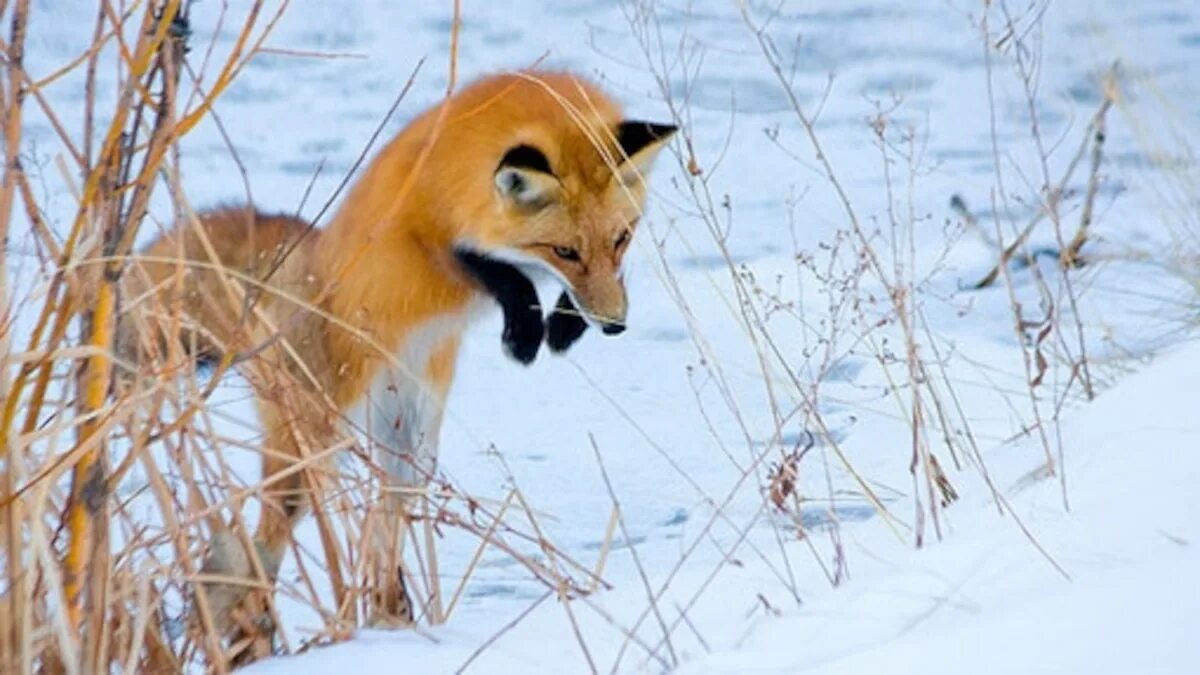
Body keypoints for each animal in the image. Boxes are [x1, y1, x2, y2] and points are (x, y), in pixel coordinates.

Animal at [119, 70, 676, 629]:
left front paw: (563, 325)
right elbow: (495, 270)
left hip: (408, 443)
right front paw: (524, 333)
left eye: (621, 239)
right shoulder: (428, 233)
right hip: (311, 443)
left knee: (387, 524)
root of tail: (303, 256)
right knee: (271, 532)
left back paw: (389, 613)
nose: (614, 327)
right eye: (564, 251)